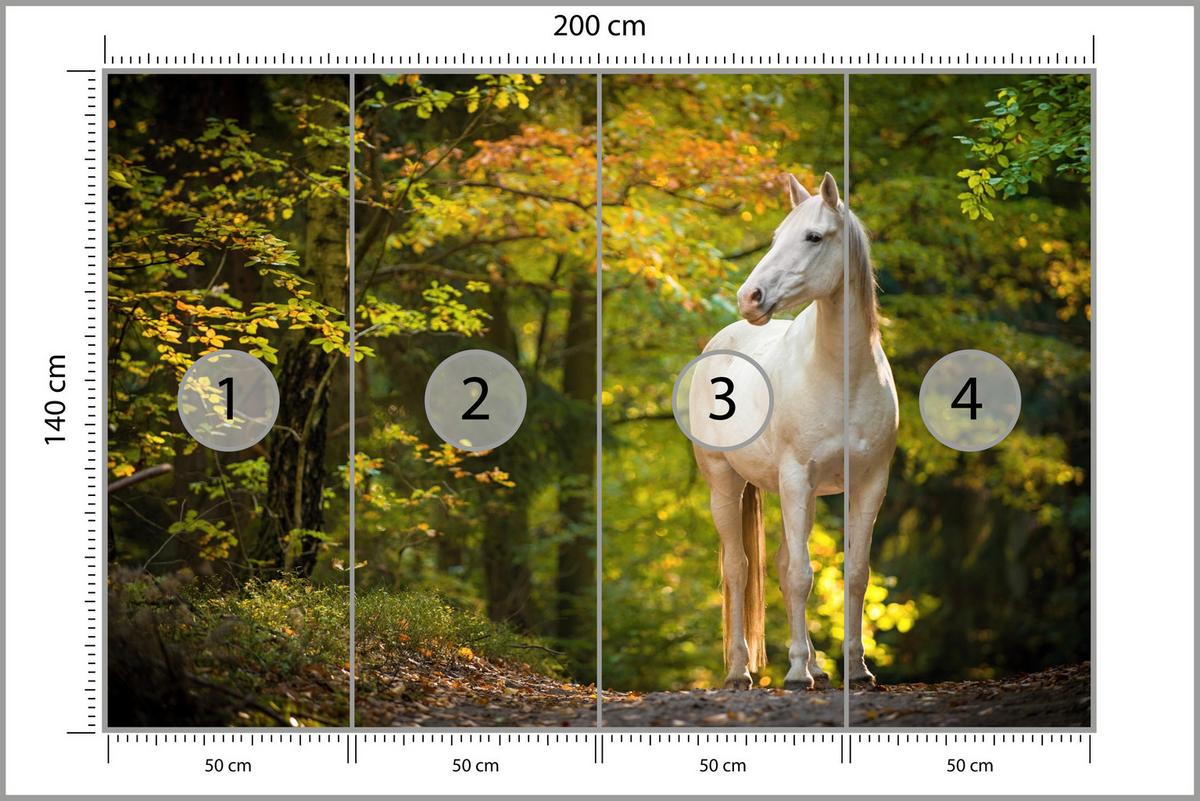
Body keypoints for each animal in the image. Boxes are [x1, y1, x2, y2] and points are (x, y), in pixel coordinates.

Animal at [690, 171, 898, 690]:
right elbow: (802, 576)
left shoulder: (869, 483)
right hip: (726, 483)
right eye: (775, 238)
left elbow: (855, 573)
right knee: (738, 568)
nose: (750, 297)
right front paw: (796, 674)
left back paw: (816, 666)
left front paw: (857, 669)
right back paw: (741, 671)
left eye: (814, 237)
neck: (842, 376)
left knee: (783, 564)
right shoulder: (796, 477)